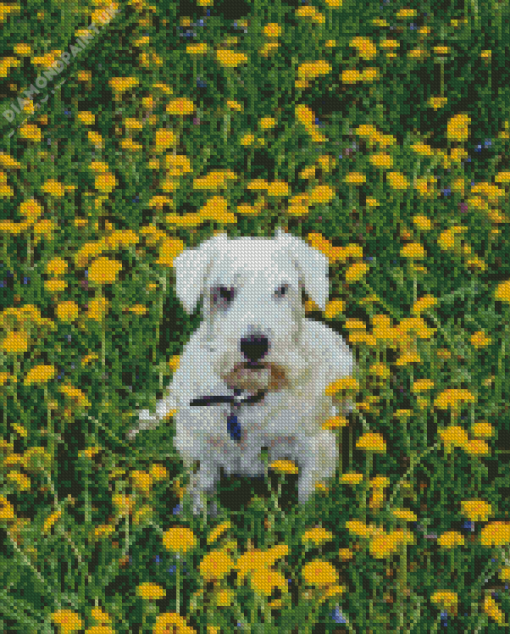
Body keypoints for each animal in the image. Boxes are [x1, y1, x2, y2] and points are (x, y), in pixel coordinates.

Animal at [131, 227, 352, 512]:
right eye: (224, 291)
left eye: (282, 289)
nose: (254, 344)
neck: (246, 394)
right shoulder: (202, 449)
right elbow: (203, 487)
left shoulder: (316, 447)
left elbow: (308, 498)